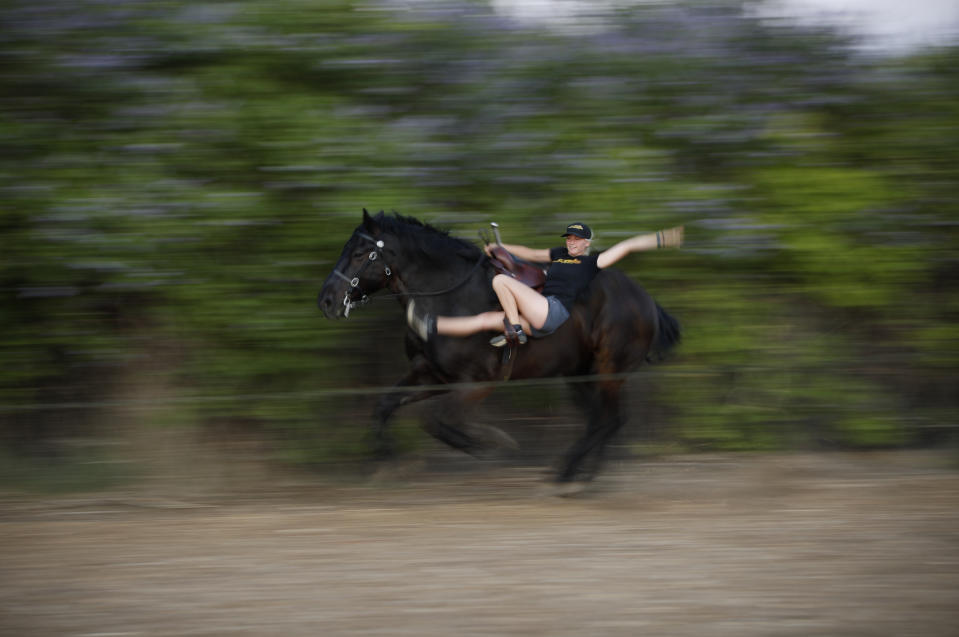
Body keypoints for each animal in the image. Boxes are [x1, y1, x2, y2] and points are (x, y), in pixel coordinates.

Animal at [318, 209, 680, 482]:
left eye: (360, 253)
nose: (326, 300)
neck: (451, 295)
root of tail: (646, 300)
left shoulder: (478, 382)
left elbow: (438, 421)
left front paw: (494, 443)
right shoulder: (432, 375)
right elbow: (386, 407)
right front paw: (388, 461)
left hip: (607, 371)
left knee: (608, 419)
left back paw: (572, 475)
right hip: (581, 374)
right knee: (604, 419)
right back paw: (579, 474)